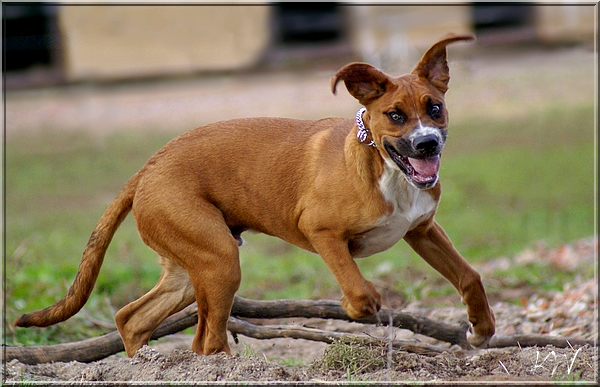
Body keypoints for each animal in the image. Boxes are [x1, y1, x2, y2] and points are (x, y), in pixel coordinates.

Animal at [15, 34, 496, 358]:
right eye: (395, 116)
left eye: (435, 108)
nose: (427, 145)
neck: (384, 168)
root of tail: (147, 168)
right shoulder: (322, 232)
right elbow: (361, 293)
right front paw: (358, 307)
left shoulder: (423, 230)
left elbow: (470, 275)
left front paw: (481, 328)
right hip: (220, 261)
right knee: (206, 340)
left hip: (190, 268)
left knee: (133, 319)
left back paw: (147, 367)